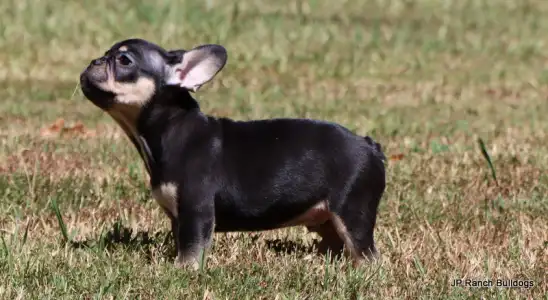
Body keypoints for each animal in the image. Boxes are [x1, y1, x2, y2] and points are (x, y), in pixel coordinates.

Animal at [79, 38, 388, 270]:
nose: (93, 61)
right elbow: (182, 242)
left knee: (366, 254)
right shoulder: (179, 218)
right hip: (328, 221)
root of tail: (370, 146)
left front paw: (183, 272)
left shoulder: (196, 211)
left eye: (124, 61)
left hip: (352, 212)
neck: (169, 129)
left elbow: (191, 249)